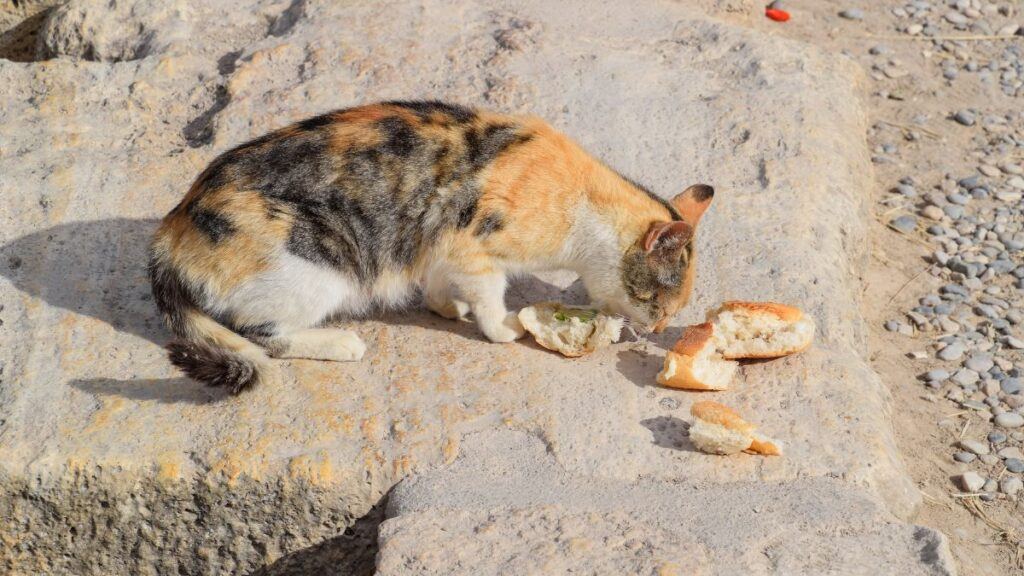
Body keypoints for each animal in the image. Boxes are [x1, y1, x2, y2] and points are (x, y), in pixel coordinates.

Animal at [149, 100, 712, 391]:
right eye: (659, 303)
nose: (656, 329)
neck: (583, 202)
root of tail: (172, 228)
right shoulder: (476, 249)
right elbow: (490, 300)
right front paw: (504, 329)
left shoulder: (443, 245)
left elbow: (441, 282)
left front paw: (446, 309)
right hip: (318, 264)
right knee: (260, 333)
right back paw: (342, 343)